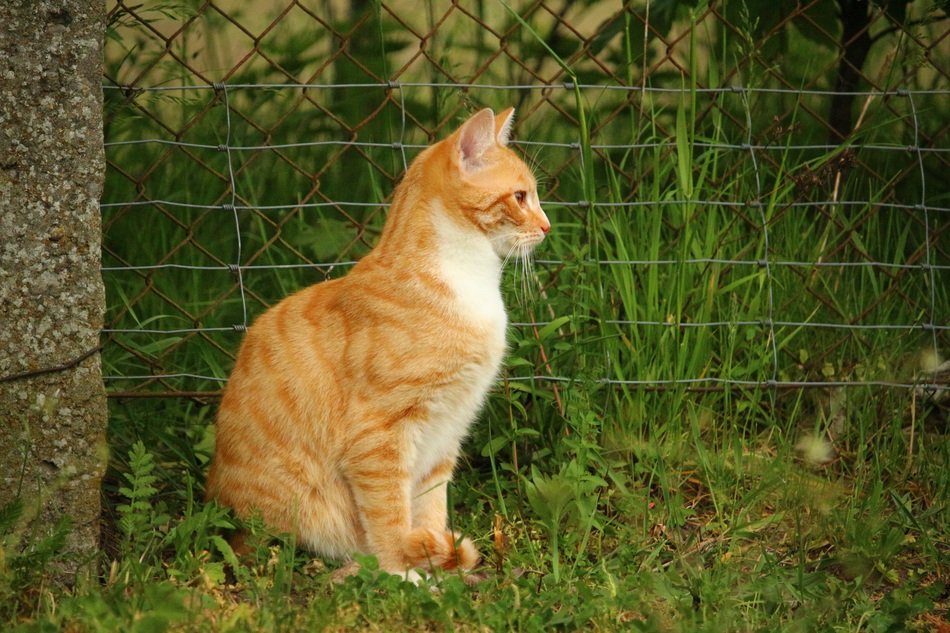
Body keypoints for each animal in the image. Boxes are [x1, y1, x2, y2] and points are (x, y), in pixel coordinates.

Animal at [208, 107, 552, 576]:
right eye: (520, 197)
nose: (547, 227)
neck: (465, 278)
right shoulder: (378, 435)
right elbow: (388, 514)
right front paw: (402, 573)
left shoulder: (446, 429)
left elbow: (430, 506)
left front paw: (436, 567)